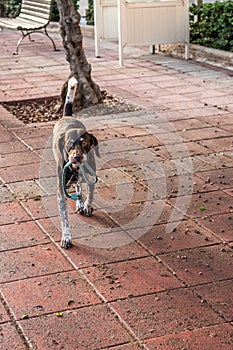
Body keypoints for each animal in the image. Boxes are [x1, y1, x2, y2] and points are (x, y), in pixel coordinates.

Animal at [52, 77, 99, 249]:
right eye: (69, 144)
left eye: (85, 143)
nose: (77, 157)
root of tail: (68, 116)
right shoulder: (61, 193)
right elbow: (64, 218)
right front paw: (66, 237)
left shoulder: (91, 178)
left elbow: (90, 194)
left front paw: (86, 206)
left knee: (79, 186)